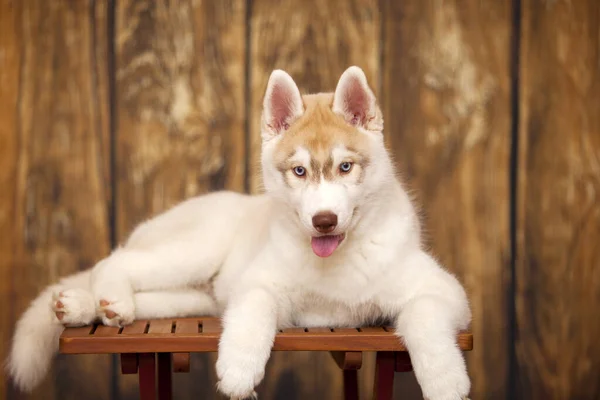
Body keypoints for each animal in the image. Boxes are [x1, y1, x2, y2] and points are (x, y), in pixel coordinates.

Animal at [5, 66, 474, 400]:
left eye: (345, 167)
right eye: (299, 171)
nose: (323, 220)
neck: (334, 263)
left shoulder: (444, 291)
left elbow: (424, 315)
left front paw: (445, 380)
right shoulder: (259, 281)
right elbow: (254, 310)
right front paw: (239, 368)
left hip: (196, 295)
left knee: (151, 296)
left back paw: (85, 306)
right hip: (193, 250)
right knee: (115, 260)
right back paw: (106, 299)